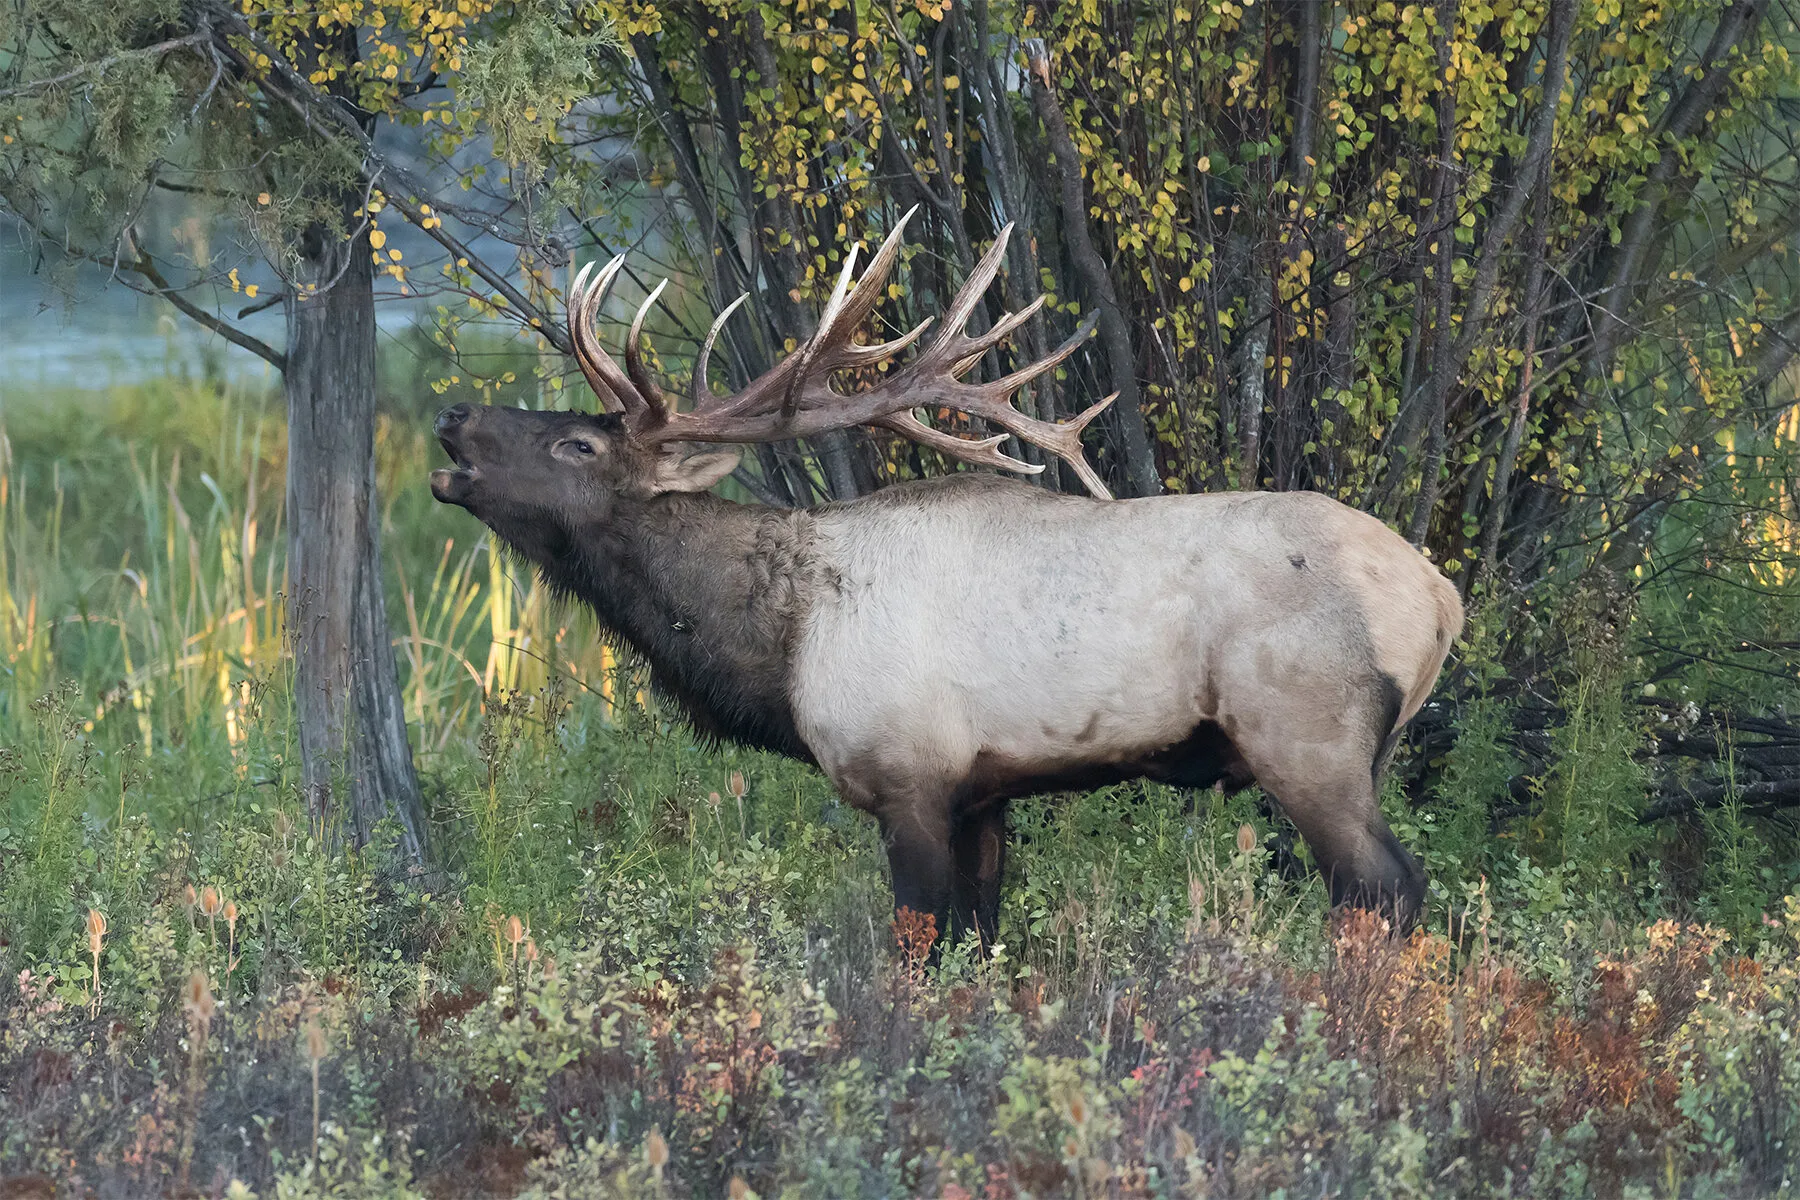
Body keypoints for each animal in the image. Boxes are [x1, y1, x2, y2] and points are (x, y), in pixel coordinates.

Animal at [430, 210, 1464, 949]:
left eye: (579, 444)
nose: (451, 418)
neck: (776, 646)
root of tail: (1441, 598)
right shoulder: (983, 792)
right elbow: (983, 943)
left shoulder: (908, 778)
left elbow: (920, 947)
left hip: (1307, 736)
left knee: (1385, 890)